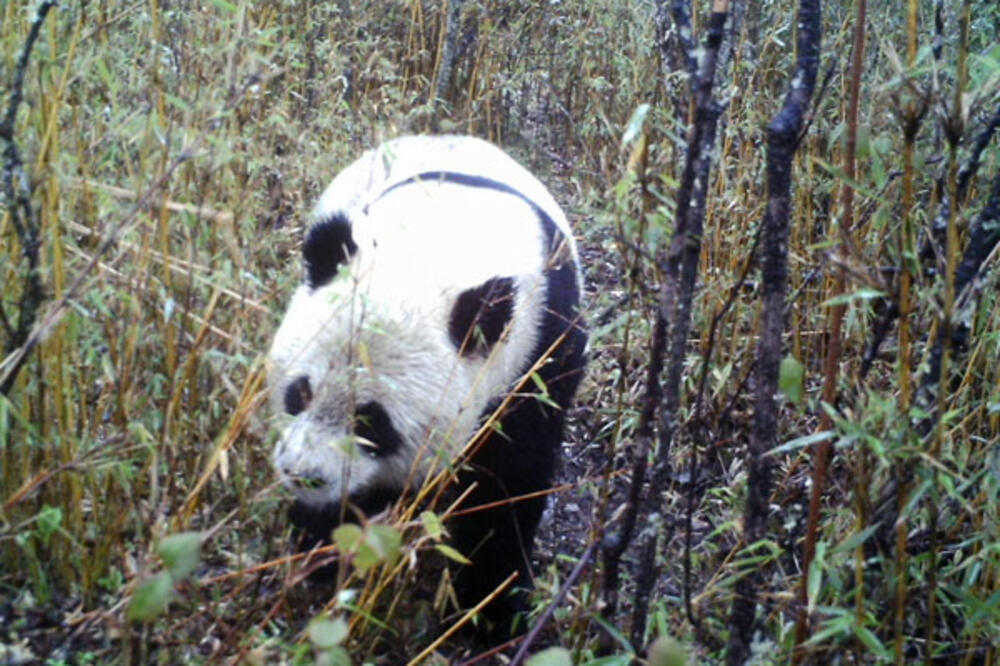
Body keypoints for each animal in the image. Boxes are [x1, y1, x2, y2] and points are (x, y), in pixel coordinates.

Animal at [267, 135, 586, 633]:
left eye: (371, 422)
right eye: (299, 392)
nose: (305, 474)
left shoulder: (541, 348)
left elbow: (508, 481)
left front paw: (490, 610)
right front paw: (319, 544)